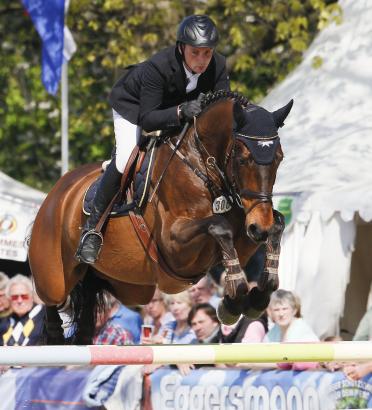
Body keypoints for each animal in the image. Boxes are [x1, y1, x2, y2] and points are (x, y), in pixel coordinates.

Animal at [28, 91, 294, 344]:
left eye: (279, 158)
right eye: (243, 158)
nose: (259, 227)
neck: (201, 166)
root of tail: (58, 192)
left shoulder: (245, 229)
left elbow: (277, 224)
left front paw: (254, 298)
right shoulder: (174, 246)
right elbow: (219, 226)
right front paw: (234, 300)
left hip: (128, 286)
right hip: (54, 277)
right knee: (52, 299)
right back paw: (55, 334)